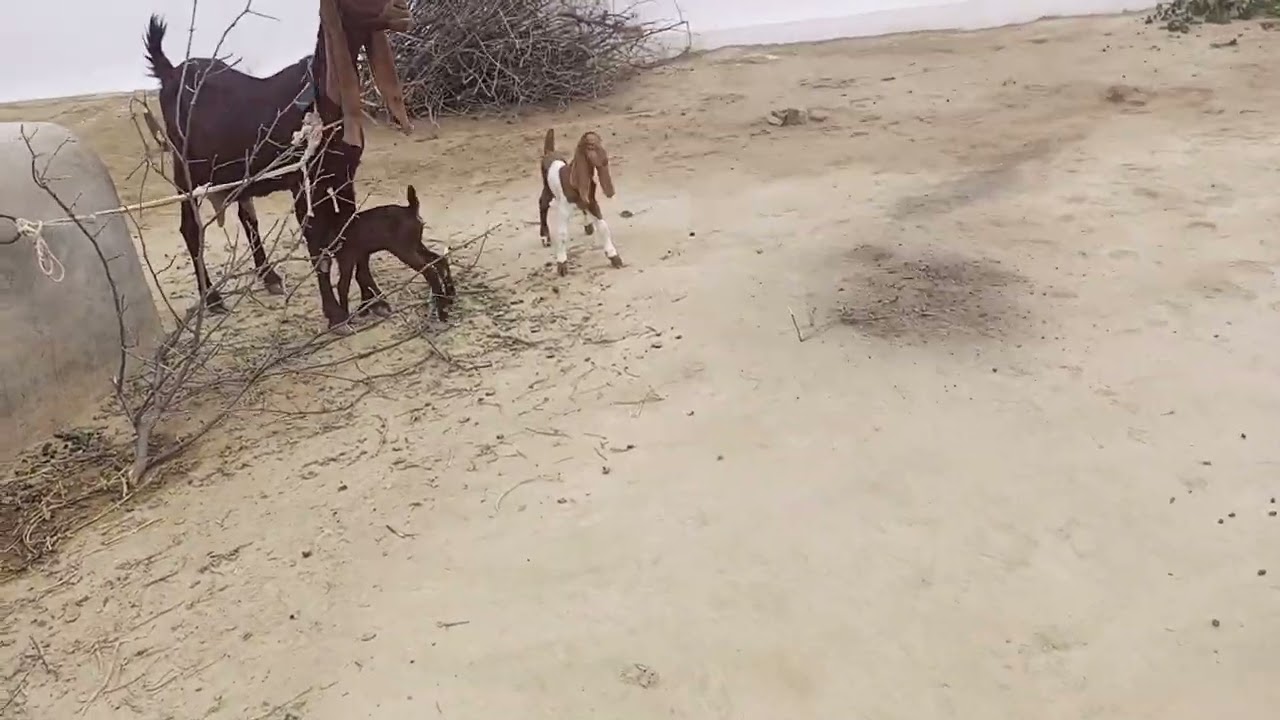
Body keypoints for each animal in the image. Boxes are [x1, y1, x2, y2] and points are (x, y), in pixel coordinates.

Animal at [143, 0, 413, 333]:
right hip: (186, 169)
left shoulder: (344, 175)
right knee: (190, 228)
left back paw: (268, 276)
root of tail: (169, 74)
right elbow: (315, 239)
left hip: (237, 172)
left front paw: (373, 300)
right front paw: (335, 315)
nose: (402, 10)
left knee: (247, 218)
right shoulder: (302, 180)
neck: (318, 101)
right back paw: (213, 298)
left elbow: (350, 226)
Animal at [336, 185, 455, 321]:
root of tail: (410, 209)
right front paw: (367, 307)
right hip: (415, 245)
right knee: (439, 260)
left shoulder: (346, 257)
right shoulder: (360, 255)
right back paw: (450, 296)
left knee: (430, 272)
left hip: (403, 249)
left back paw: (441, 311)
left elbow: (343, 285)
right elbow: (362, 277)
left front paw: (346, 317)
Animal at [538, 129, 623, 276]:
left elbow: (603, 227)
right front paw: (562, 265)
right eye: (590, 146)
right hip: (548, 189)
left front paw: (614, 257)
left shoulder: (592, 202)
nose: (604, 160)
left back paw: (588, 225)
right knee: (542, 204)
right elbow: (562, 234)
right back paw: (544, 236)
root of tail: (549, 152)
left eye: (600, 141)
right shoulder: (564, 208)